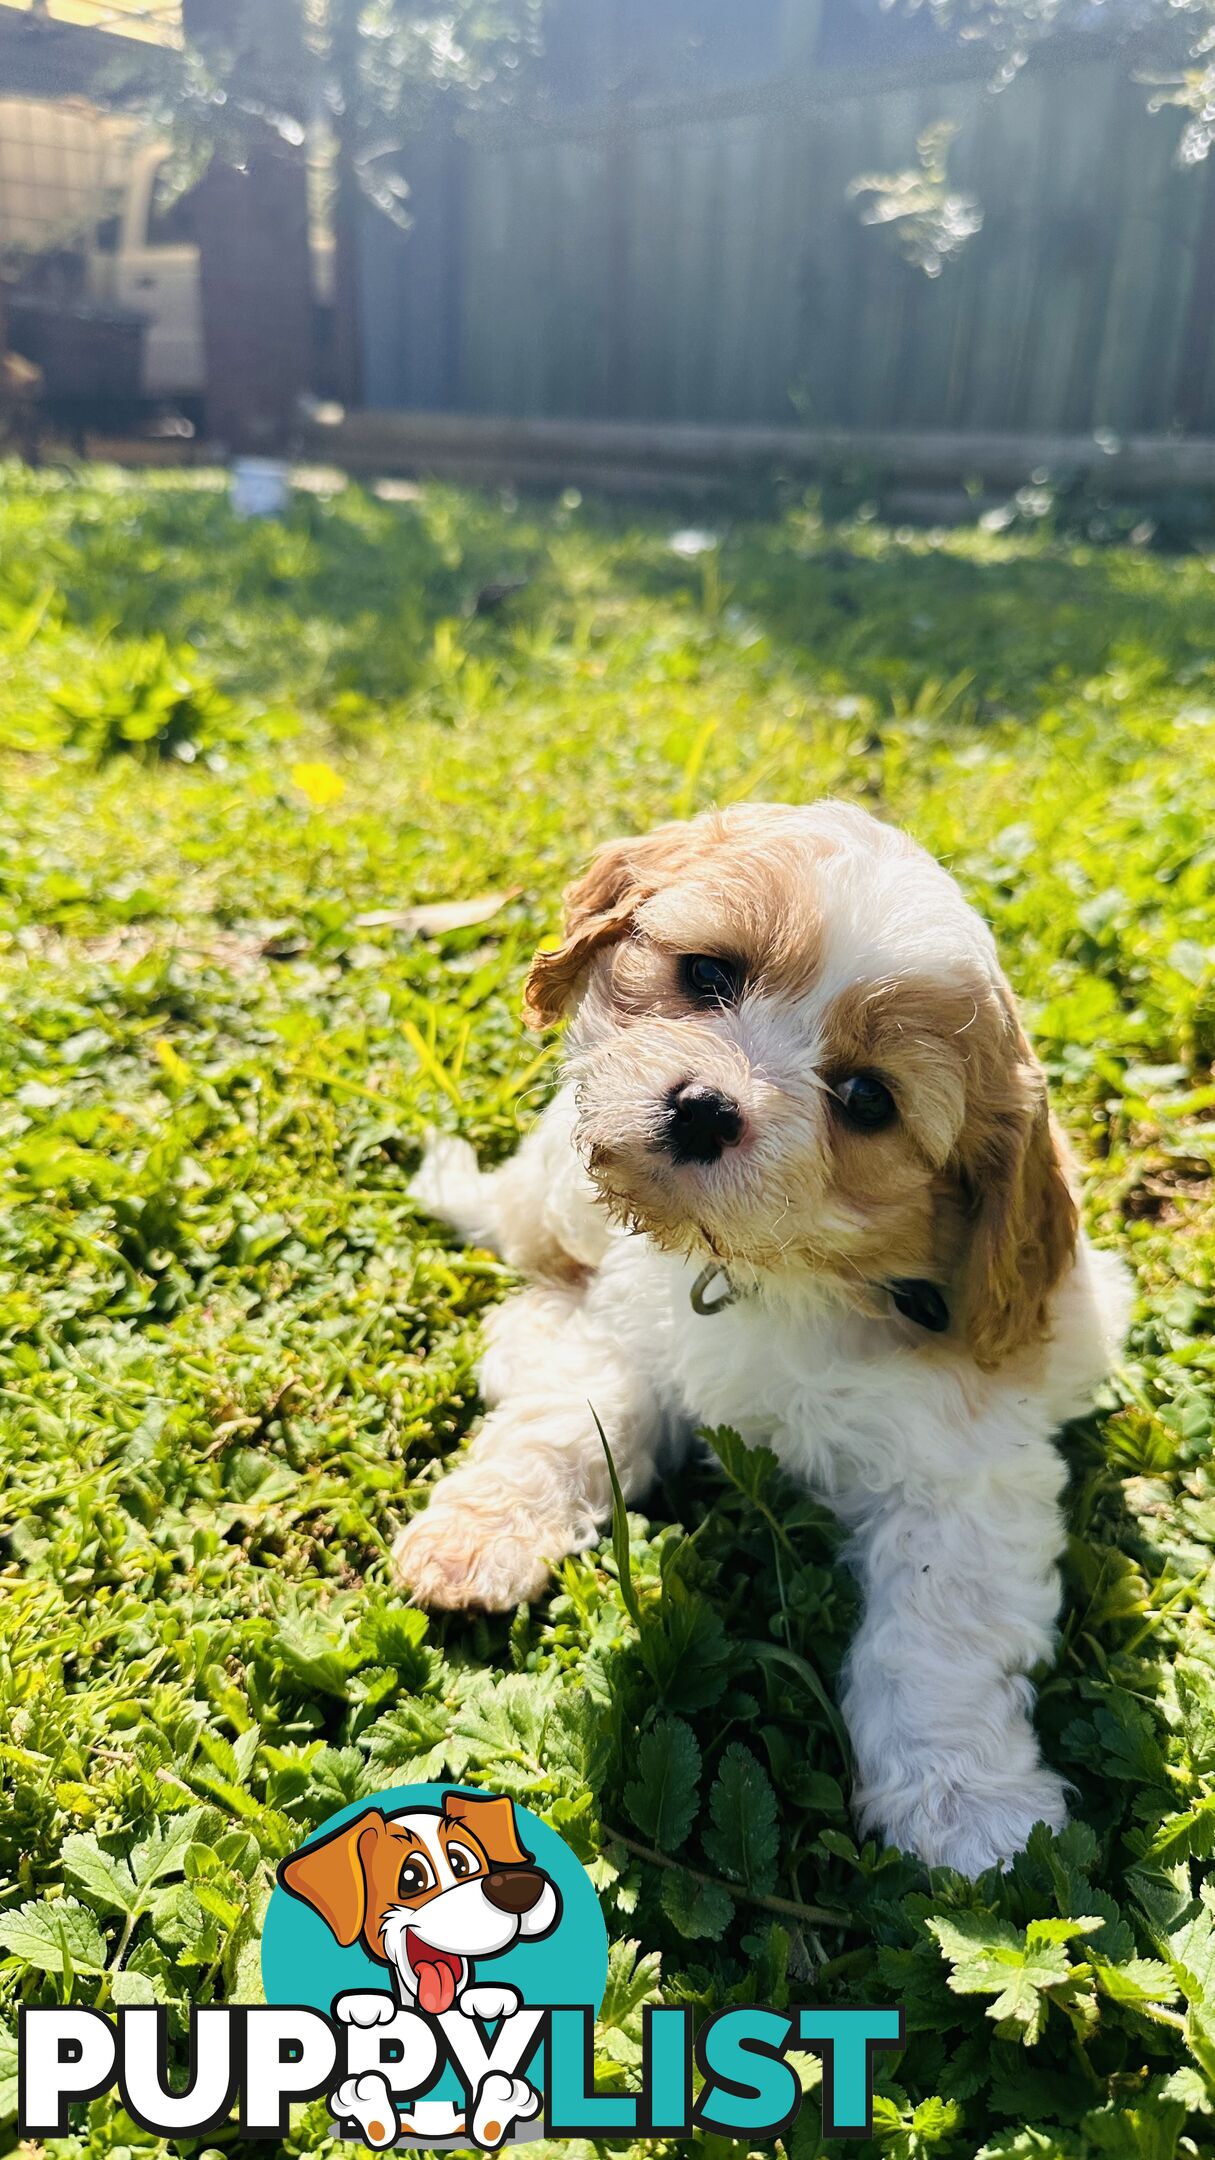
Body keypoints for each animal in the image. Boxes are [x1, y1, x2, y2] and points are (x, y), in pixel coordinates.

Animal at [393, 803, 1132, 1883]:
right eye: (708, 975)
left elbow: (936, 1630)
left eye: (867, 1099)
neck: (764, 1270)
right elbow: (568, 1418)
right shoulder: (621, 1328)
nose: (705, 1110)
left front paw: (966, 1807)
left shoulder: (966, 1470)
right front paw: (479, 1535)